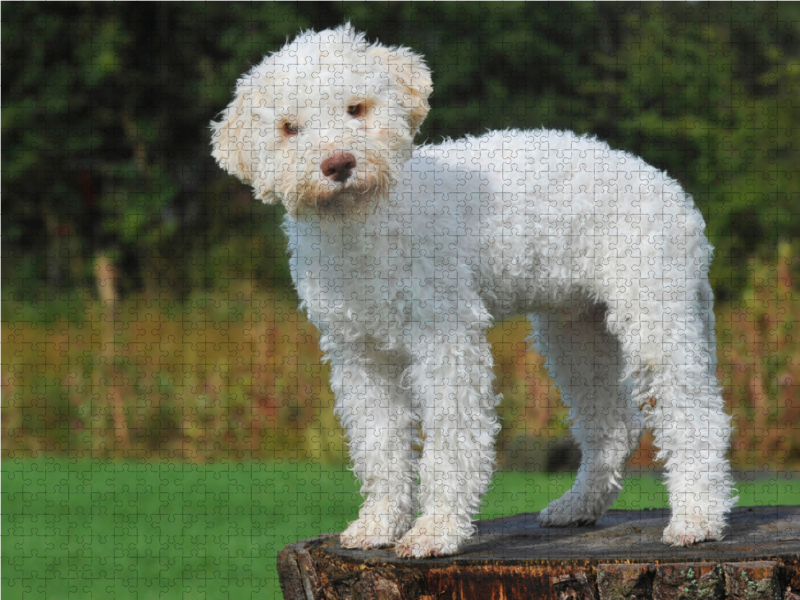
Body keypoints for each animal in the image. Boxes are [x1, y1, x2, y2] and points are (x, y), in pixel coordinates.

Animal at [209, 23, 736, 556]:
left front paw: (436, 530)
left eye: (356, 108)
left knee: (698, 416)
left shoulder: (446, 338)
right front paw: (378, 524)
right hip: (575, 330)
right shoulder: (360, 354)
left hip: (656, 315)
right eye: (288, 128)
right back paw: (576, 507)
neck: (365, 225)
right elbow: (380, 444)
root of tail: (673, 190)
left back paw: (697, 519)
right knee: (615, 426)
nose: (338, 164)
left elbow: (452, 437)